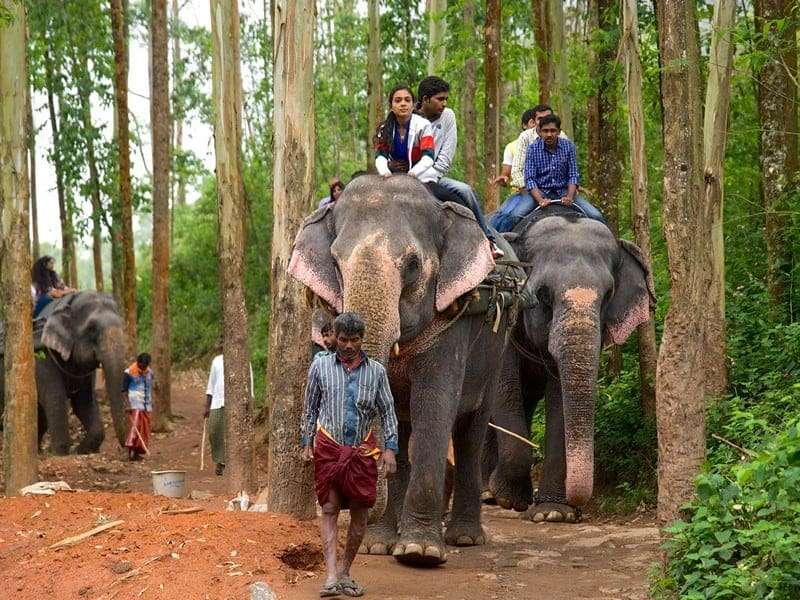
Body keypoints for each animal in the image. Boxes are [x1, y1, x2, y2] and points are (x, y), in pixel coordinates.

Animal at [0, 291, 129, 455]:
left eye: (122, 325)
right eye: (91, 328)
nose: (128, 450)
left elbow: (83, 402)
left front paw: (80, 450)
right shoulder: (42, 355)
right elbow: (55, 398)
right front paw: (60, 453)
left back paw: (38, 452)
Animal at [288, 174, 519, 566]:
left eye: (412, 265)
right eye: (335, 262)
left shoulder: (450, 322)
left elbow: (434, 407)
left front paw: (419, 552)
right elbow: (392, 412)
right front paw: (377, 546)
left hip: (495, 350)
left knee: (470, 430)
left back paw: (465, 538)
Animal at [484, 204, 654, 522]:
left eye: (608, 295)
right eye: (542, 295)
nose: (579, 508)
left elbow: (559, 395)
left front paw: (553, 513)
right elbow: (504, 382)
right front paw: (508, 498)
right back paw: (487, 493)